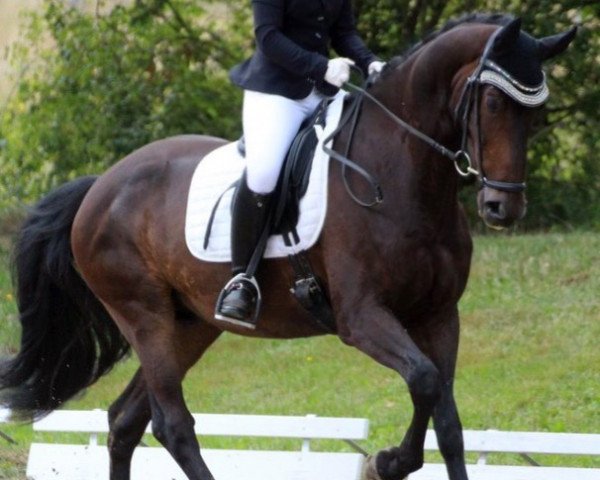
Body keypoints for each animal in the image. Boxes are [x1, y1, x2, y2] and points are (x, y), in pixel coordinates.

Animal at [0, 13, 576, 480]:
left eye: (536, 108)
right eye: (495, 101)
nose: (503, 208)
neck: (404, 176)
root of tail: (99, 187)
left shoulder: (438, 315)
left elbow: (447, 416)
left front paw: (393, 459)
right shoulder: (362, 317)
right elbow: (426, 381)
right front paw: (386, 461)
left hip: (190, 325)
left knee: (125, 421)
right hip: (144, 316)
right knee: (172, 423)